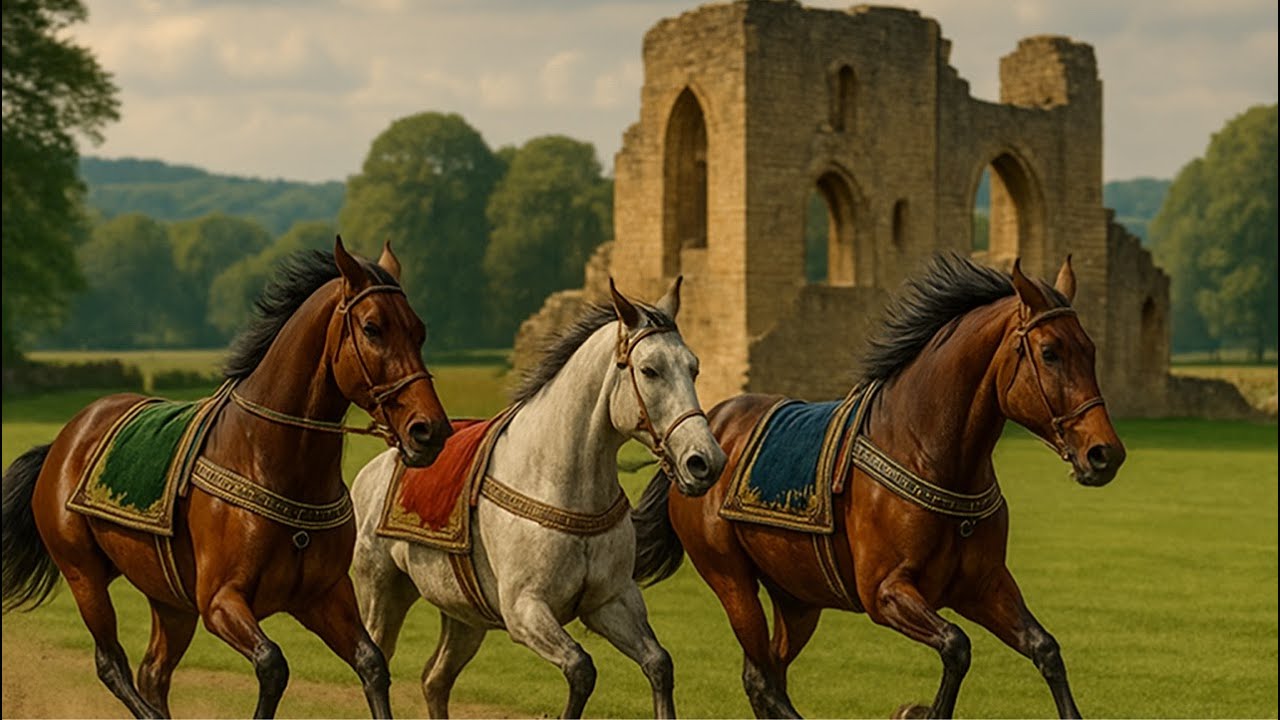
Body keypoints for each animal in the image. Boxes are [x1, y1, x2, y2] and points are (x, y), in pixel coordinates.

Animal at [1, 238, 454, 719]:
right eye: (372, 328)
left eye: (419, 331)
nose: (430, 430)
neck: (268, 460)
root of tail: (65, 440)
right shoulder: (220, 600)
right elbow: (273, 664)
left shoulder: (323, 595)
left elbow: (371, 663)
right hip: (83, 575)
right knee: (112, 663)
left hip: (169, 601)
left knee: (153, 673)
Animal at [350, 277, 727, 719]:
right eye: (650, 370)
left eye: (693, 367)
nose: (705, 462)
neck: (560, 484)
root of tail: (374, 469)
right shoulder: (525, 610)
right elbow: (582, 669)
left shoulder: (611, 601)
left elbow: (659, 663)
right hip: (381, 593)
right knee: (376, 666)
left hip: (464, 616)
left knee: (434, 679)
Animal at [632, 253, 1127, 719]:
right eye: (1050, 352)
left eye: (1090, 350)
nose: (1105, 453)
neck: (925, 449)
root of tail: (706, 431)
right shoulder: (884, 592)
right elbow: (957, 645)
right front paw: (920, 711)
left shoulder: (983, 586)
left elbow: (1045, 649)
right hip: (732, 581)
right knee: (762, 680)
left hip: (798, 597)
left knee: (770, 674)